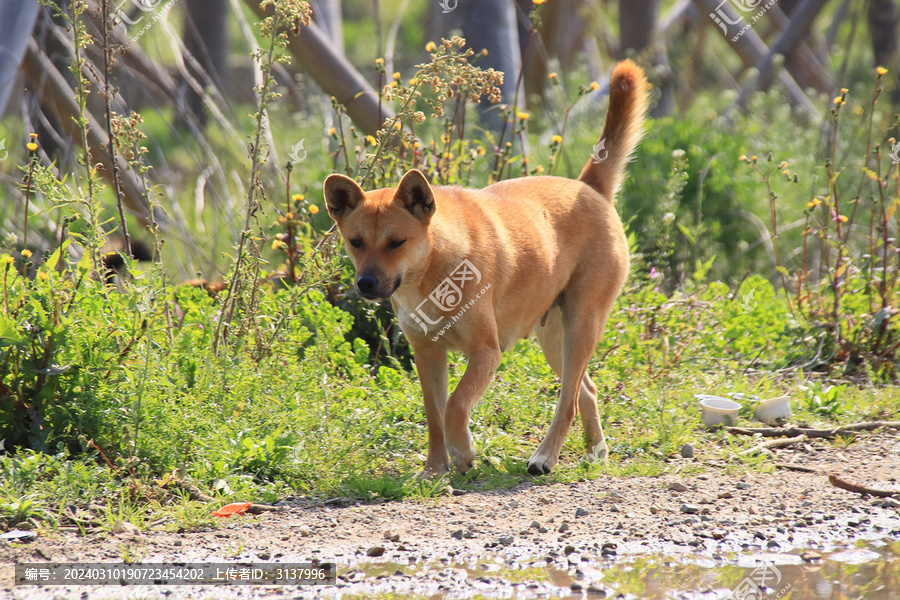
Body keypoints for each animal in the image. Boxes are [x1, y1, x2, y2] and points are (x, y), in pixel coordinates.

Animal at [324, 58, 648, 476]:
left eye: (396, 243)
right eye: (356, 242)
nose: (365, 283)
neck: (432, 274)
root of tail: (588, 188)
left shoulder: (486, 352)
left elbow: (455, 405)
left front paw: (462, 451)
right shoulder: (427, 355)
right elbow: (434, 415)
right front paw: (435, 469)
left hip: (581, 325)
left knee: (569, 401)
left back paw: (545, 456)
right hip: (554, 337)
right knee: (585, 392)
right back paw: (596, 451)